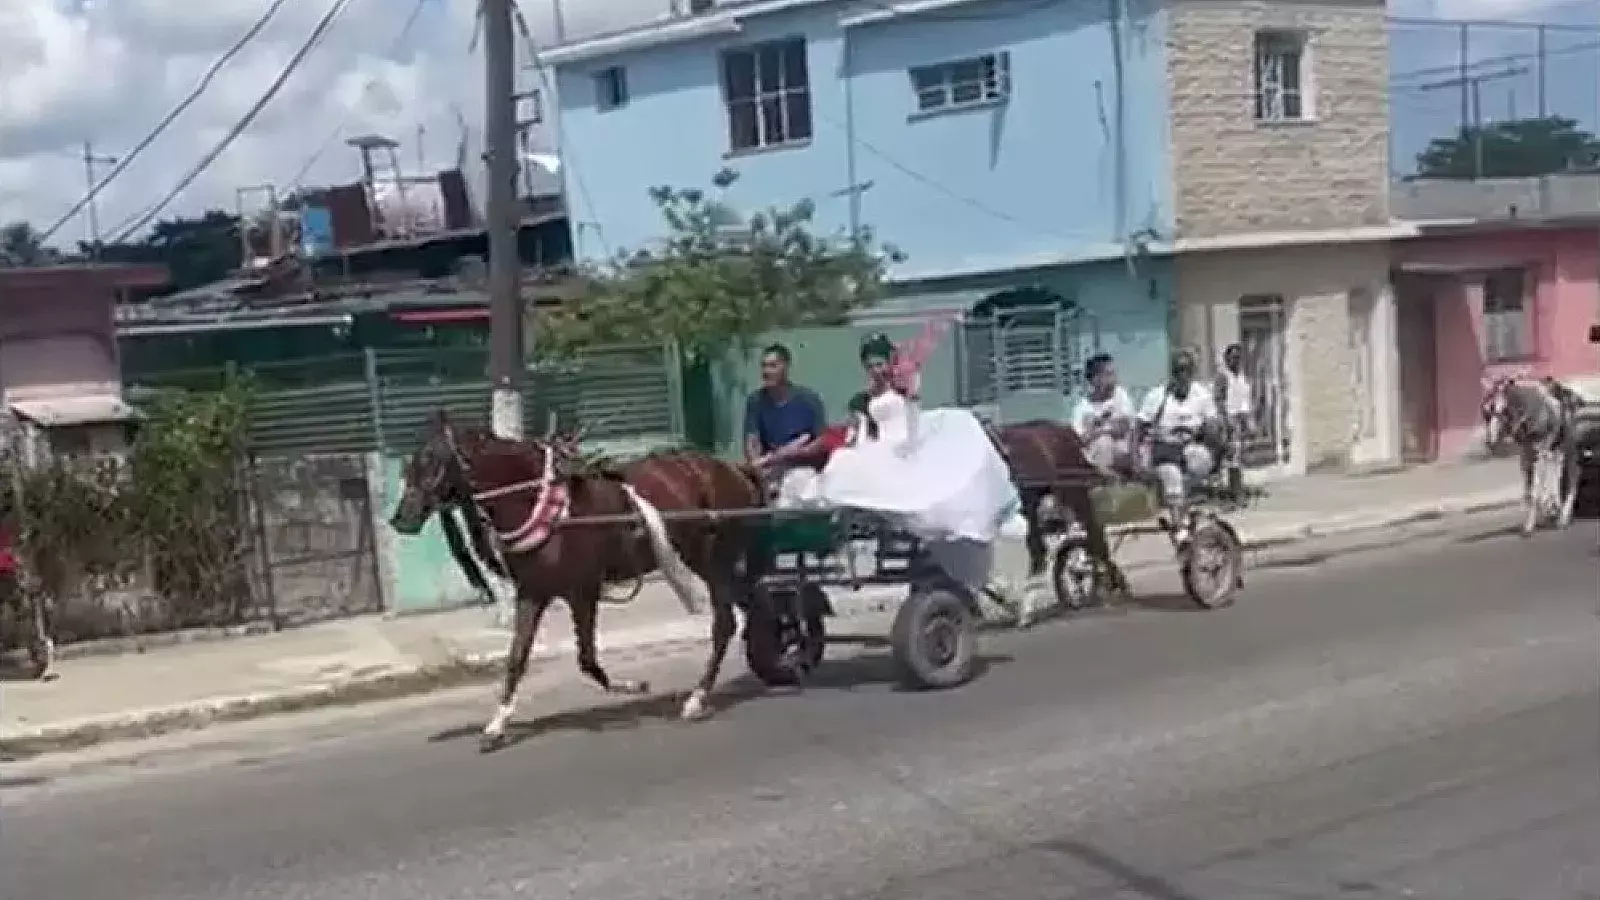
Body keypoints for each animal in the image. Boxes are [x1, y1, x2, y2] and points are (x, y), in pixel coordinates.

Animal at [384, 409, 764, 746]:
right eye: (410, 464)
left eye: (432, 461)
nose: (401, 518)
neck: (545, 507)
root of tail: (733, 468)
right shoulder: (533, 592)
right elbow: (517, 657)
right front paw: (497, 724)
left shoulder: (582, 591)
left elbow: (587, 659)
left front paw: (628, 686)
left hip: (715, 561)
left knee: (725, 623)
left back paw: (698, 697)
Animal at [1478, 371, 1580, 531]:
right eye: (1486, 412)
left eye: (1504, 410)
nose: (1490, 442)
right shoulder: (1526, 453)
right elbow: (1529, 491)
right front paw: (1531, 522)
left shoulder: (1540, 450)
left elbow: (1537, 487)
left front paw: (1548, 509)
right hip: (1553, 448)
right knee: (1555, 467)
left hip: (1566, 444)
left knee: (1571, 474)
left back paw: (1562, 515)